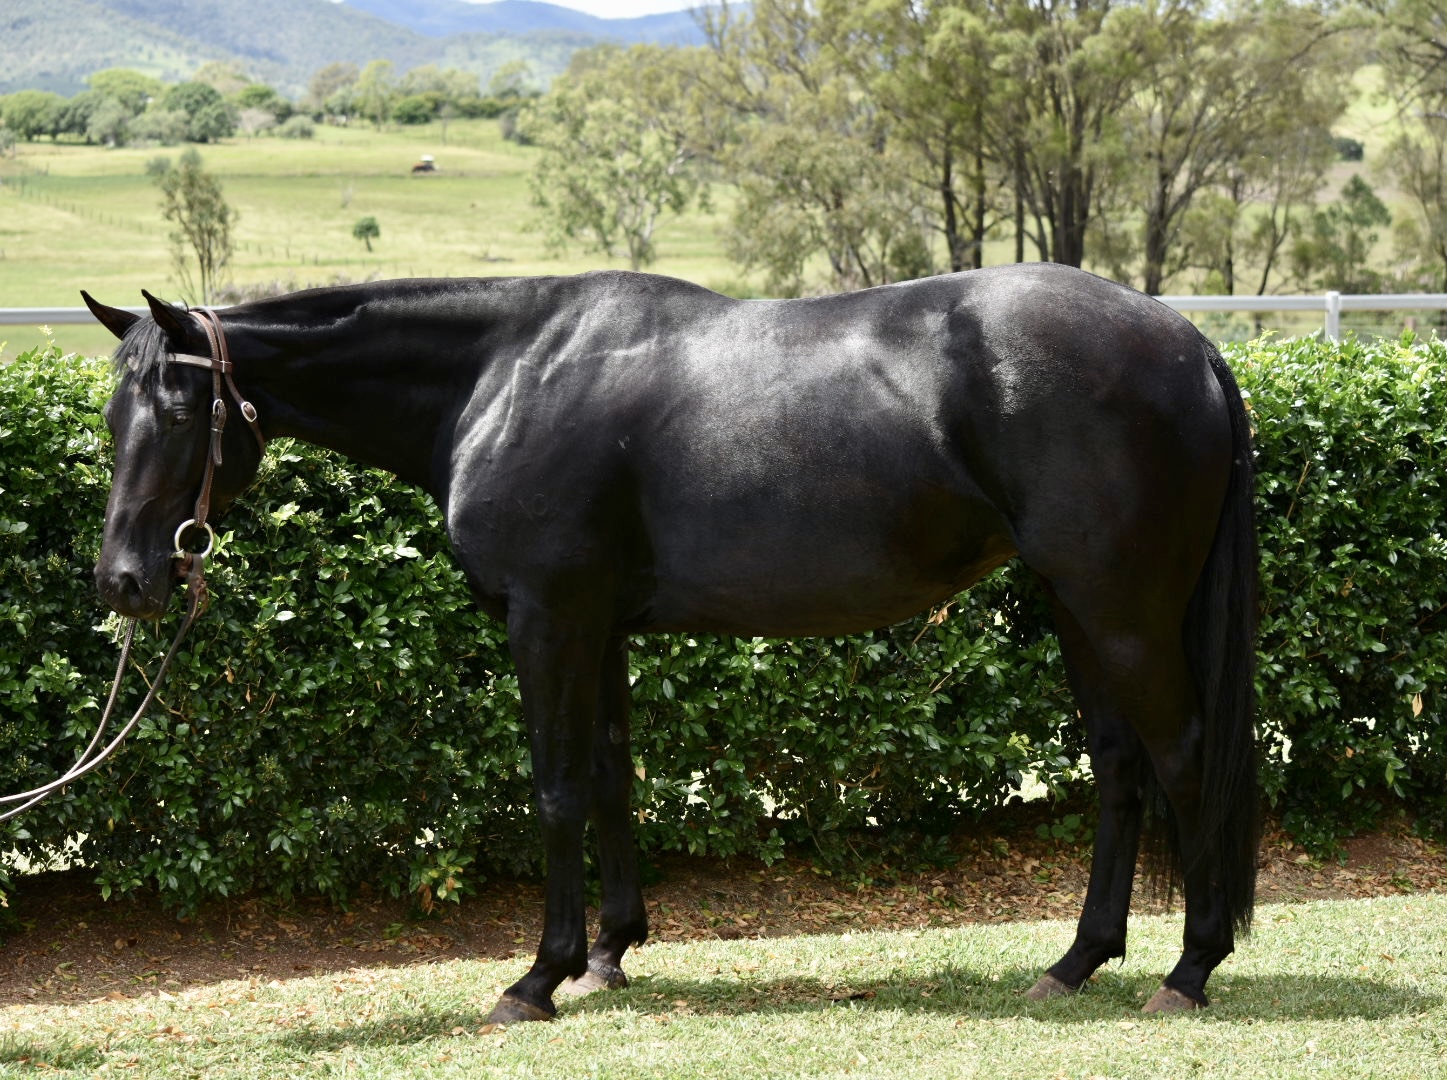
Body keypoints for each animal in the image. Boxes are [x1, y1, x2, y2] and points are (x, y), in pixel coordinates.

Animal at [82, 261, 1258, 1023]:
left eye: (179, 413)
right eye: (110, 418)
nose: (126, 581)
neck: (505, 376)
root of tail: (1189, 344)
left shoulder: (548, 616)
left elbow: (556, 787)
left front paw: (537, 978)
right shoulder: (597, 625)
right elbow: (610, 776)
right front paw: (609, 952)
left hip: (1119, 608)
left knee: (1185, 756)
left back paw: (1188, 969)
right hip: (1075, 605)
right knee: (1118, 766)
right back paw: (1076, 961)